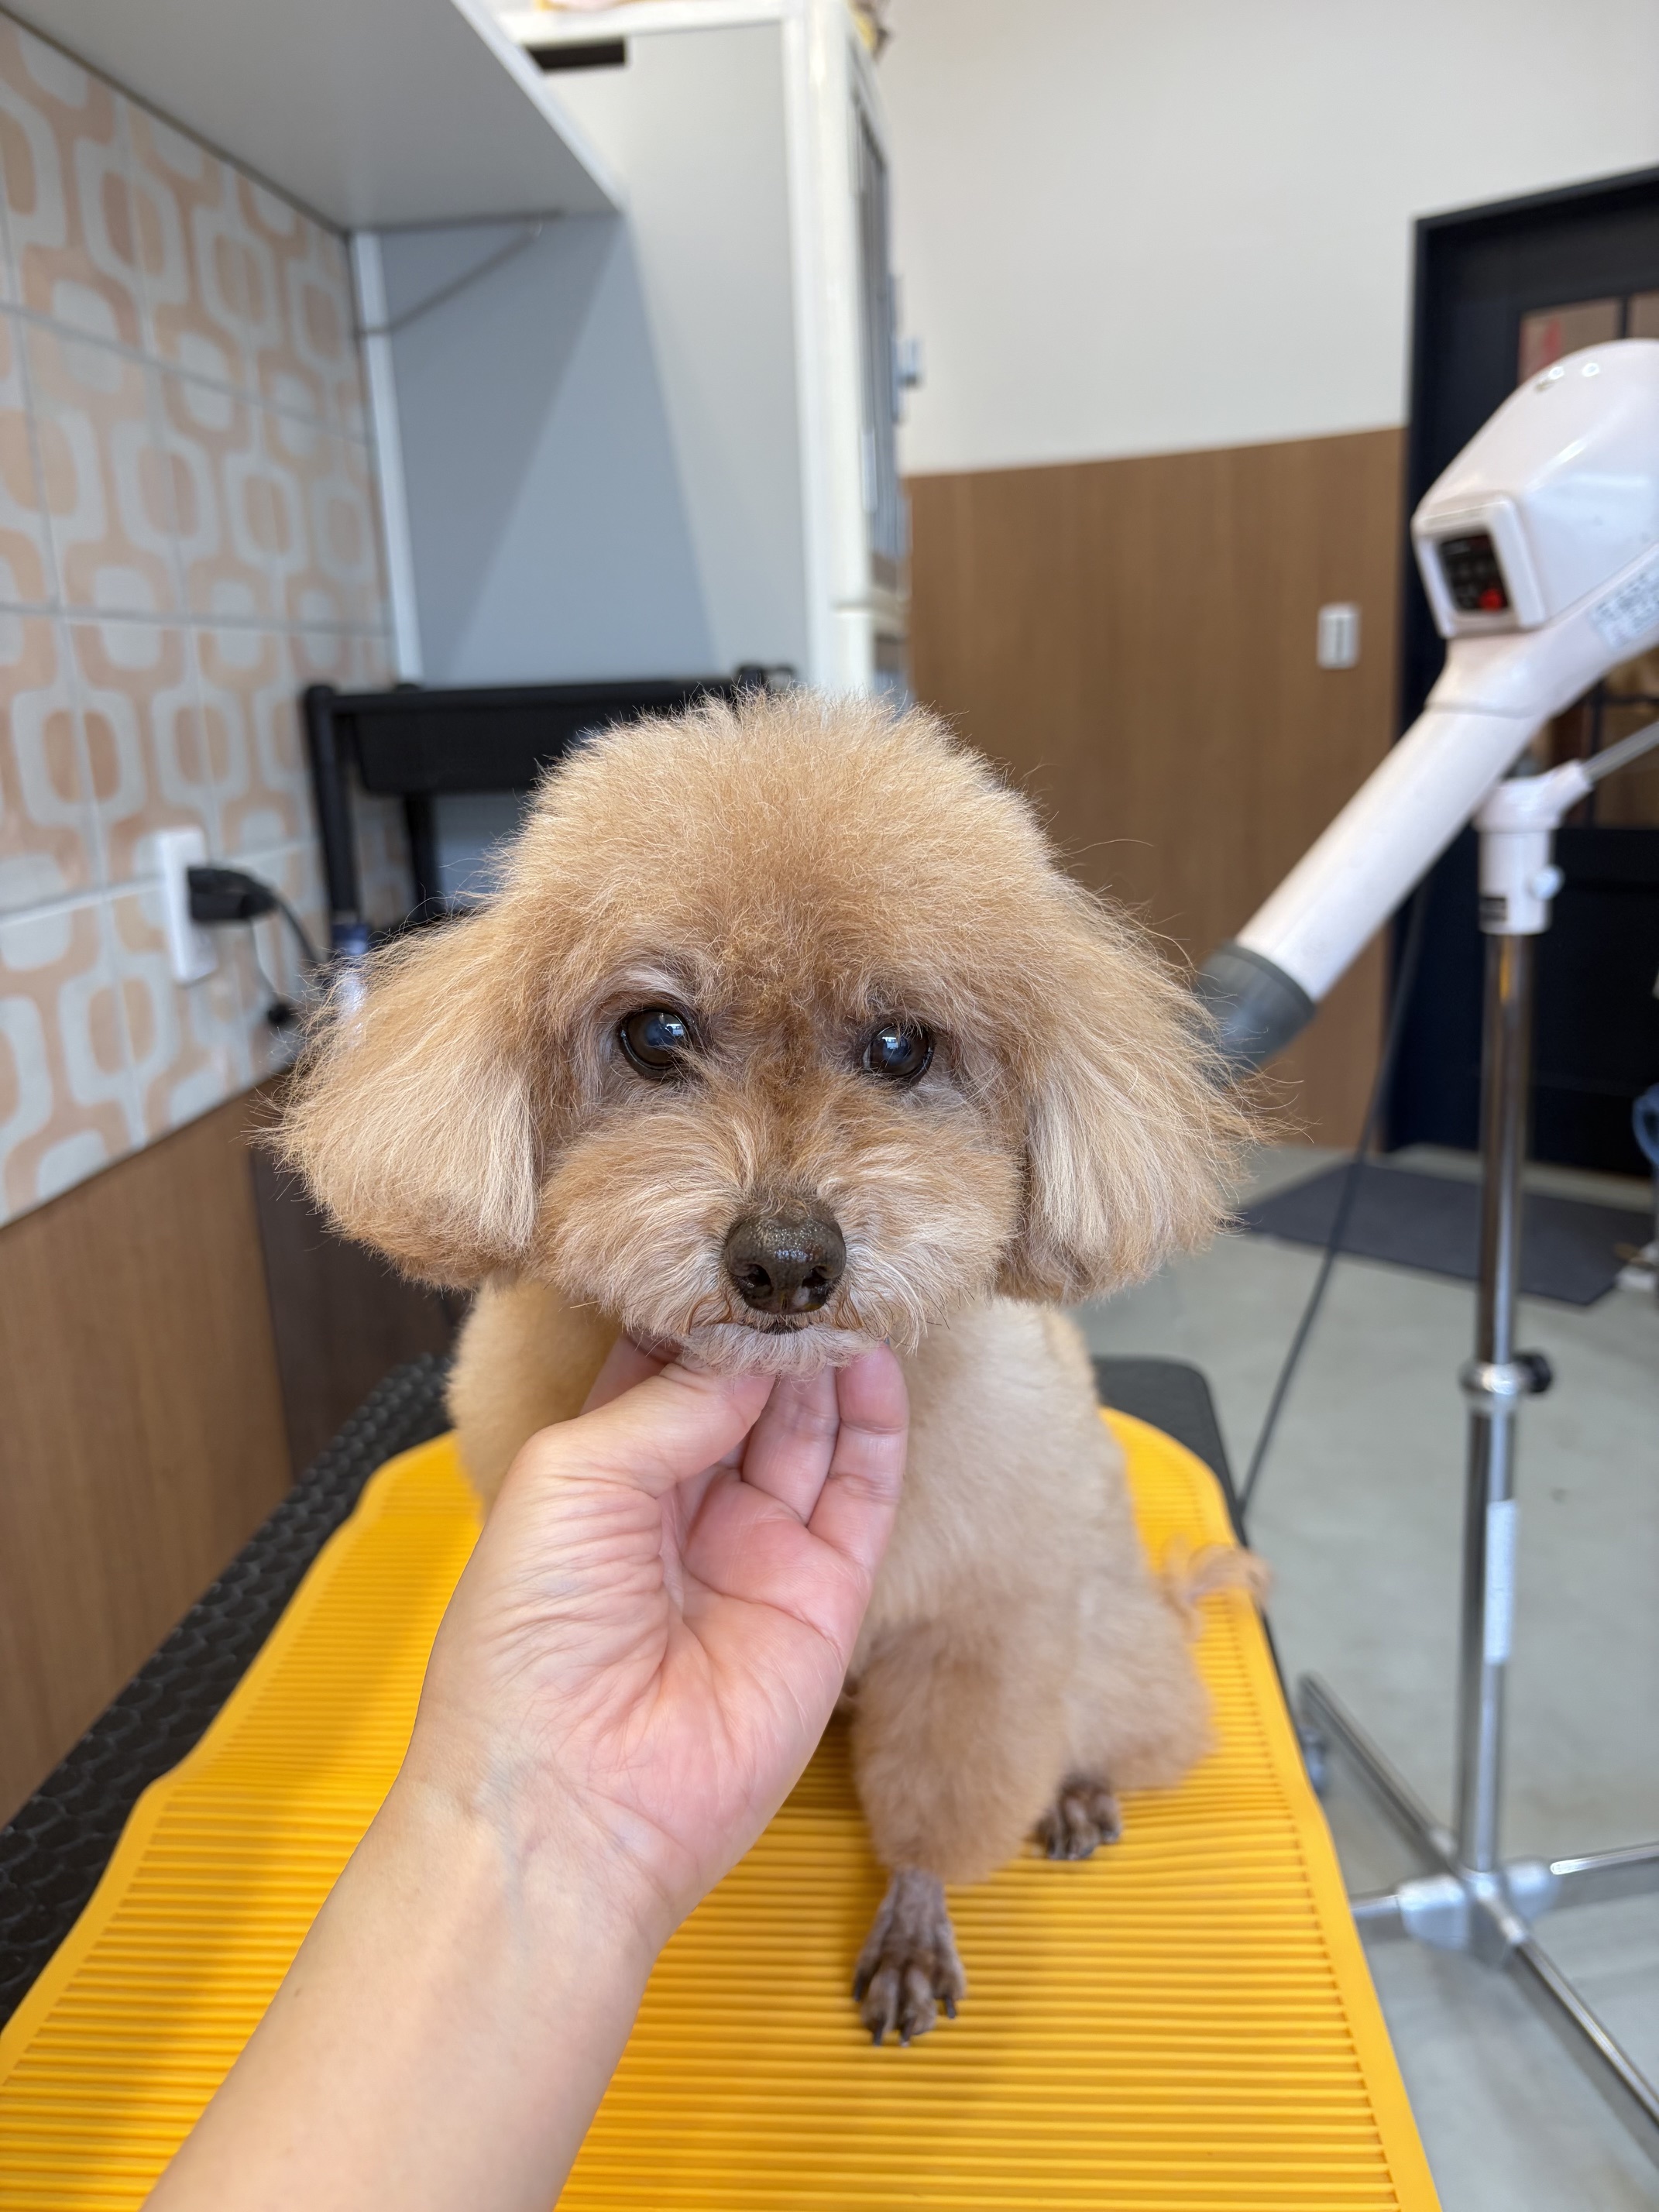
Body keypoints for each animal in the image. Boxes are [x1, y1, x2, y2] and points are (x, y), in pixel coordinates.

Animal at [279, 690, 1254, 2044]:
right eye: (653, 1032)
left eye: (900, 1044)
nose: (786, 1263)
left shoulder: (980, 1632)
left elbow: (943, 1804)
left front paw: (912, 1921)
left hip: (1104, 1630)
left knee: (1126, 1721)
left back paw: (1077, 1791)